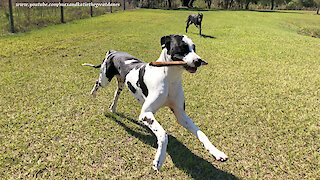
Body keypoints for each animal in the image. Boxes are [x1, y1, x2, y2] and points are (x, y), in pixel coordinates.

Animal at [82, 34, 228, 171]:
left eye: (194, 48)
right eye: (182, 48)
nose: (199, 60)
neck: (169, 78)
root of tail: (113, 51)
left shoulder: (181, 115)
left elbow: (201, 133)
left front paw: (216, 152)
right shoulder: (146, 114)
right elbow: (163, 134)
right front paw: (159, 159)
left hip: (121, 83)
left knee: (116, 94)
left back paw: (113, 108)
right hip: (105, 79)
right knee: (97, 83)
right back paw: (94, 94)